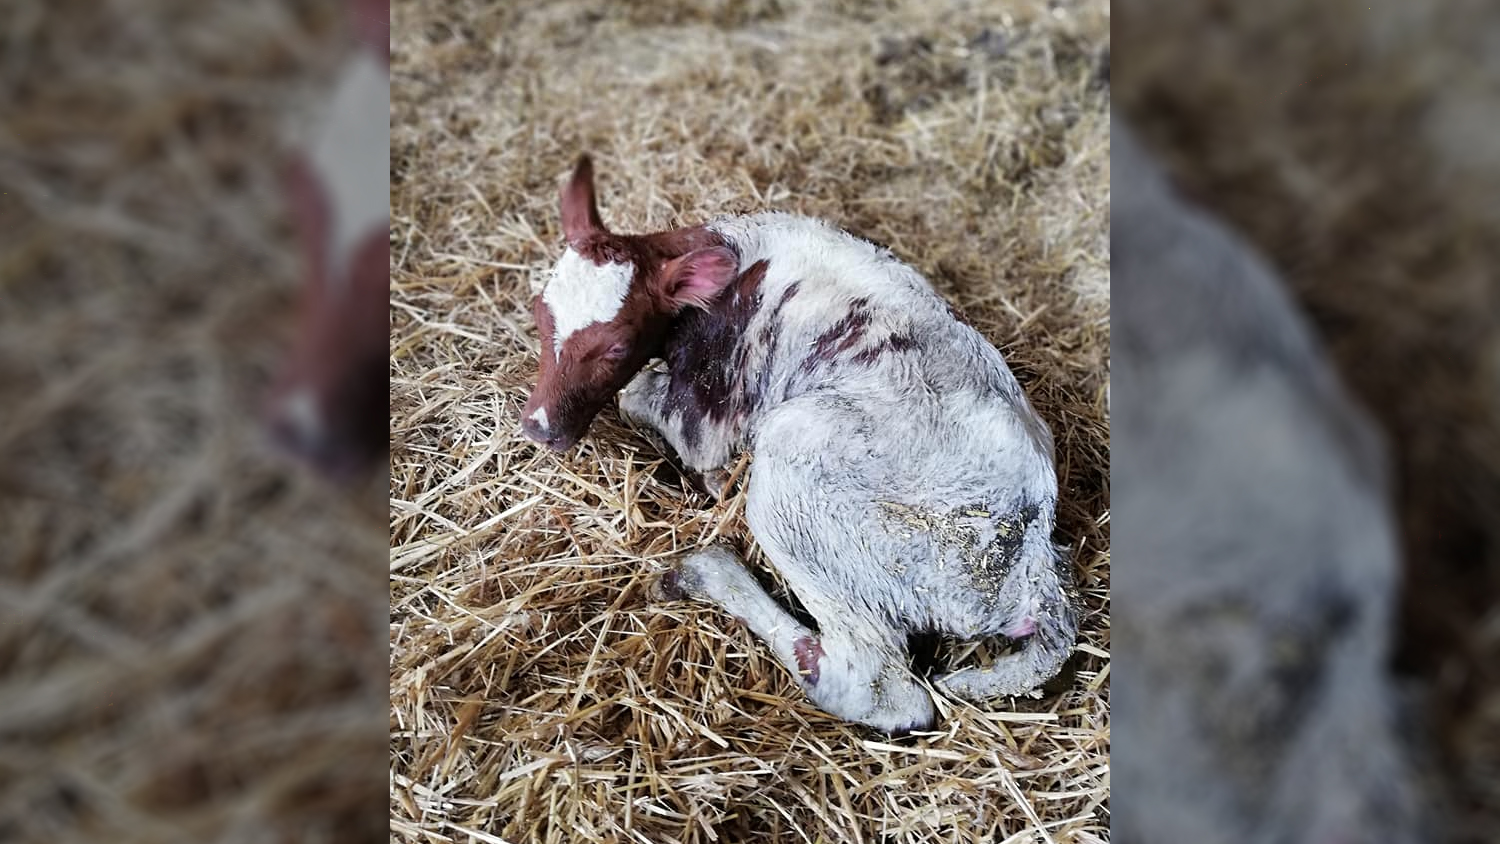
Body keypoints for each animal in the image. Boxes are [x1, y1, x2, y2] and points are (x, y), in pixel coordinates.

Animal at [522, 158, 1074, 734]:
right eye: (540, 312)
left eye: (616, 346)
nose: (538, 427)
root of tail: (1034, 565)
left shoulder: (708, 417)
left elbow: (639, 399)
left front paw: (709, 478)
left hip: (799, 475)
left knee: (879, 686)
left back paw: (705, 571)